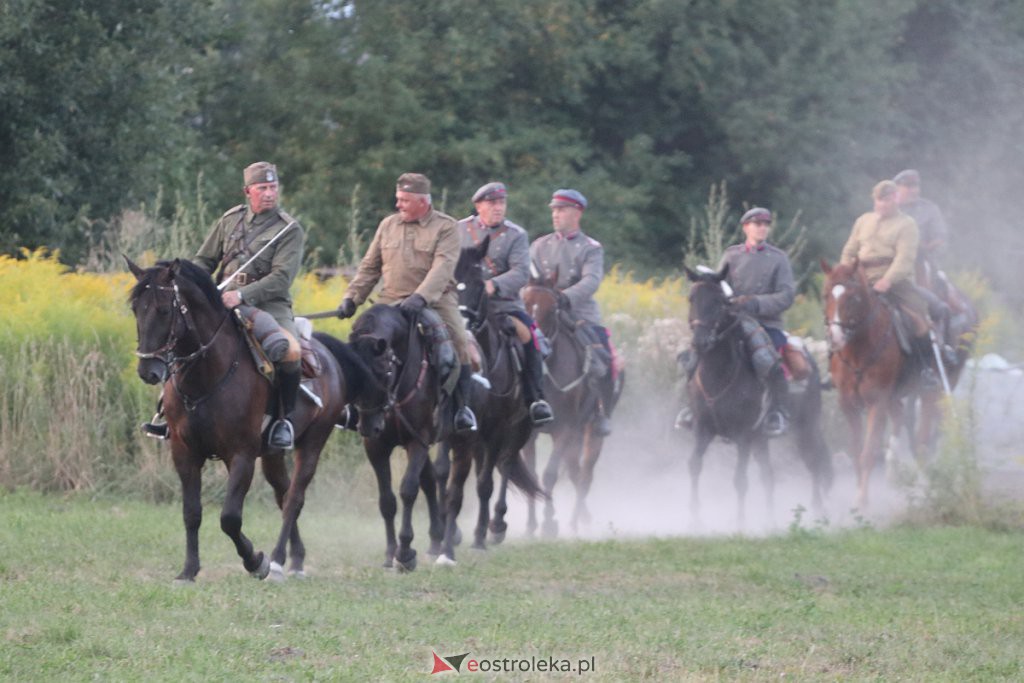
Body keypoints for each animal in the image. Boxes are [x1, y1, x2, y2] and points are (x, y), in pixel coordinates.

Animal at [128, 255, 356, 581]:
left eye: (163, 309)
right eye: (135, 309)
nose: (148, 371)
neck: (206, 375)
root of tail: (327, 355)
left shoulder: (241, 455)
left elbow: (230, 518)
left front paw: (255, 561)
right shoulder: (184, 452)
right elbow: (191, 513)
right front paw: (188, 571)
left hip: (313, 443)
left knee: (294, 500)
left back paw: (276, 561)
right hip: (272, 454)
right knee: (283, 493)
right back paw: (296, 559)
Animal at [337, 305, 446, 573]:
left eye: (384, 372)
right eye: (354, 372)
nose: (368, 426)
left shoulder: (418, 441)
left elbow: (408, 490)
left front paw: (405, 552)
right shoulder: (376, 447)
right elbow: (387, 500)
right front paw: (390, 553)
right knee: (429, 481)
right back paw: (435, 540)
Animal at [432, 242, 544, 565]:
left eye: (480, 285)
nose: (461, 325)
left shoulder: (494, 431)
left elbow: (484, 483)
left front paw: (480, 537)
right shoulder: (452, 430)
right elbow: (442, 471)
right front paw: (446, 533)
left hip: (517, 431)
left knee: (503, 467)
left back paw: (496, 526)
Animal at [520, 274, 614, 536]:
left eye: (553, 309)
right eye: (523, 303)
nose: (536, 344)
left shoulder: (564, 429)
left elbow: (549, 474)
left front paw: (548, 523)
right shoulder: (530, 434)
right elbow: (531, 475)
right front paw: (530, 525)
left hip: (590, 433)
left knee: (584, 475)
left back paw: (576, 523)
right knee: (574, 472)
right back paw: (581, 519)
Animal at [679, 264, 831, 528]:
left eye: (720, 301)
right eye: (692, 298)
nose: (700, 341)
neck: (719, 375)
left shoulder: (744, 435)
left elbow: (740, 479)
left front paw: (741, 523)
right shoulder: (702, 428)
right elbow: (694, 465)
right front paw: (695, 520)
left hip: (806, 428)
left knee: (814, 462)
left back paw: (818, 514)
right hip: (762, 439)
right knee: (768, 475)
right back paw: (770, 520)